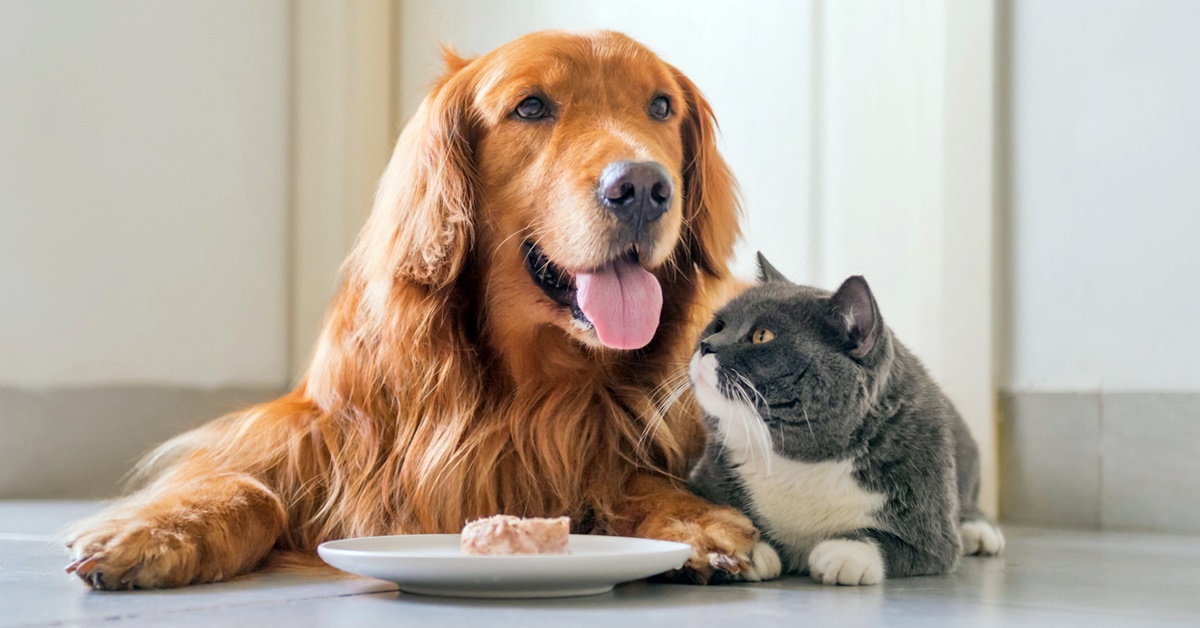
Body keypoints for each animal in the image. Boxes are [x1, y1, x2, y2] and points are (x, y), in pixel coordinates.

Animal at [65, 29, 758, 590]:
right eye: (531, 106)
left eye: (661, 107)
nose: (641, 187)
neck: (531, 386)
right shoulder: (311, 428)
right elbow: (242, 484)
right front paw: (159, 530)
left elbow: (637, 479)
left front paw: (693, 521)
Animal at [686, 253, 1003, 588]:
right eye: (718, 325)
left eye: (762, 335)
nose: (706, 345)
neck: (798, 465)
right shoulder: (702, 478)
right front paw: (745, 548)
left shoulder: (932, 532)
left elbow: (894, 542)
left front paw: (846, 553)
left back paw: (979, 531)